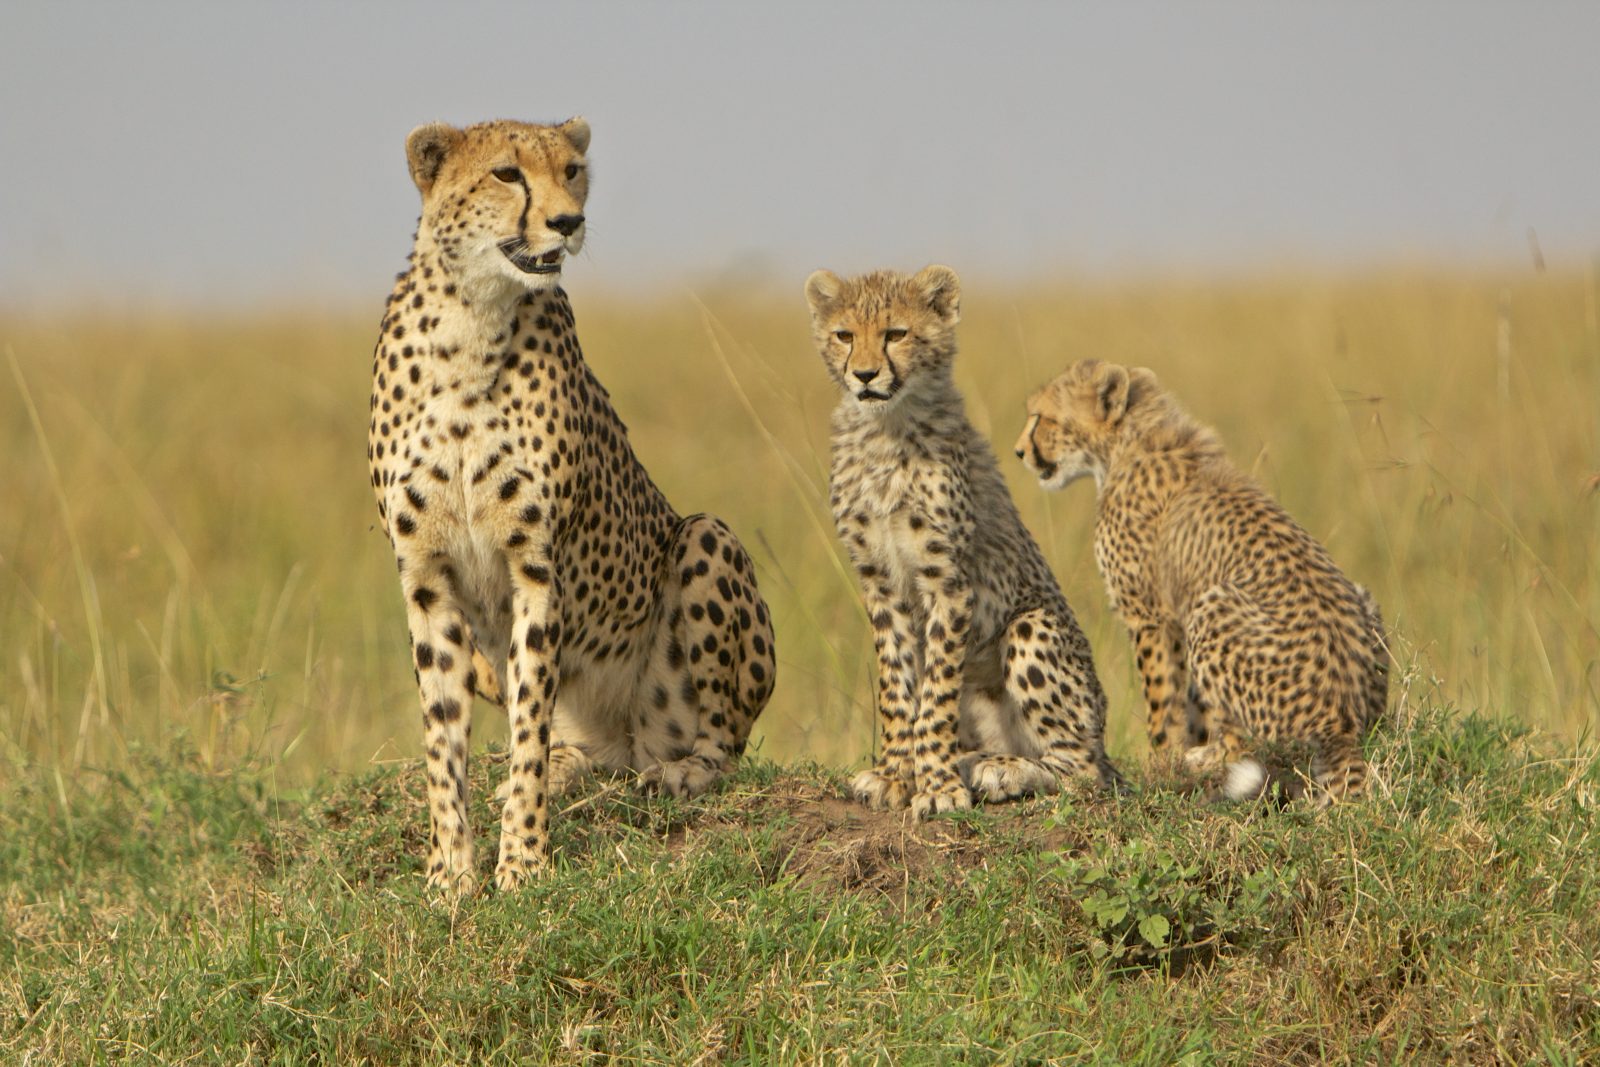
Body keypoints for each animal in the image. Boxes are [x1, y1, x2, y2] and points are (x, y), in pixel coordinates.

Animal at [368, 118, 775, 892]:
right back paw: (564, 767)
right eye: (506, 174)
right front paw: (449, 876)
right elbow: (443, 733)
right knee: (572, 744)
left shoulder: (536, 568)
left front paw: (523, 862)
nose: (568, 221)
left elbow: (528, 720)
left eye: (573, 171)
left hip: (706, 540)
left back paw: (682, 771)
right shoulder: (425, 576)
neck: (472, 320)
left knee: (720, 744)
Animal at [804, 265, 1124, 818]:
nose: (864, 375)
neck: (887, 429)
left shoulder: (948, 582)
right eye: (845, 335)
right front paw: (896, 775)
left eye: (896, 334)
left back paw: (1002, 771)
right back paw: (975, 760)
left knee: (1083, 771)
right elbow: (897, 684)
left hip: (1033, 627)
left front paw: (935, 786)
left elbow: (934, 694)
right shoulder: (879, 581)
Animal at [1016, 359, 1388, 804]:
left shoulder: (1151, 616)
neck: (1133, 440)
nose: (1019, 452)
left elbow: (1163, 698)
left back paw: (1204, 759)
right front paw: (1187, 744)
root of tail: (1344, 722)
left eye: (1043, 417)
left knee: (1246, 745)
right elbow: (1194, 701)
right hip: (1363, 603)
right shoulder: (1175, 613)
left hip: (1214, 607)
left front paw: (1163, 758)